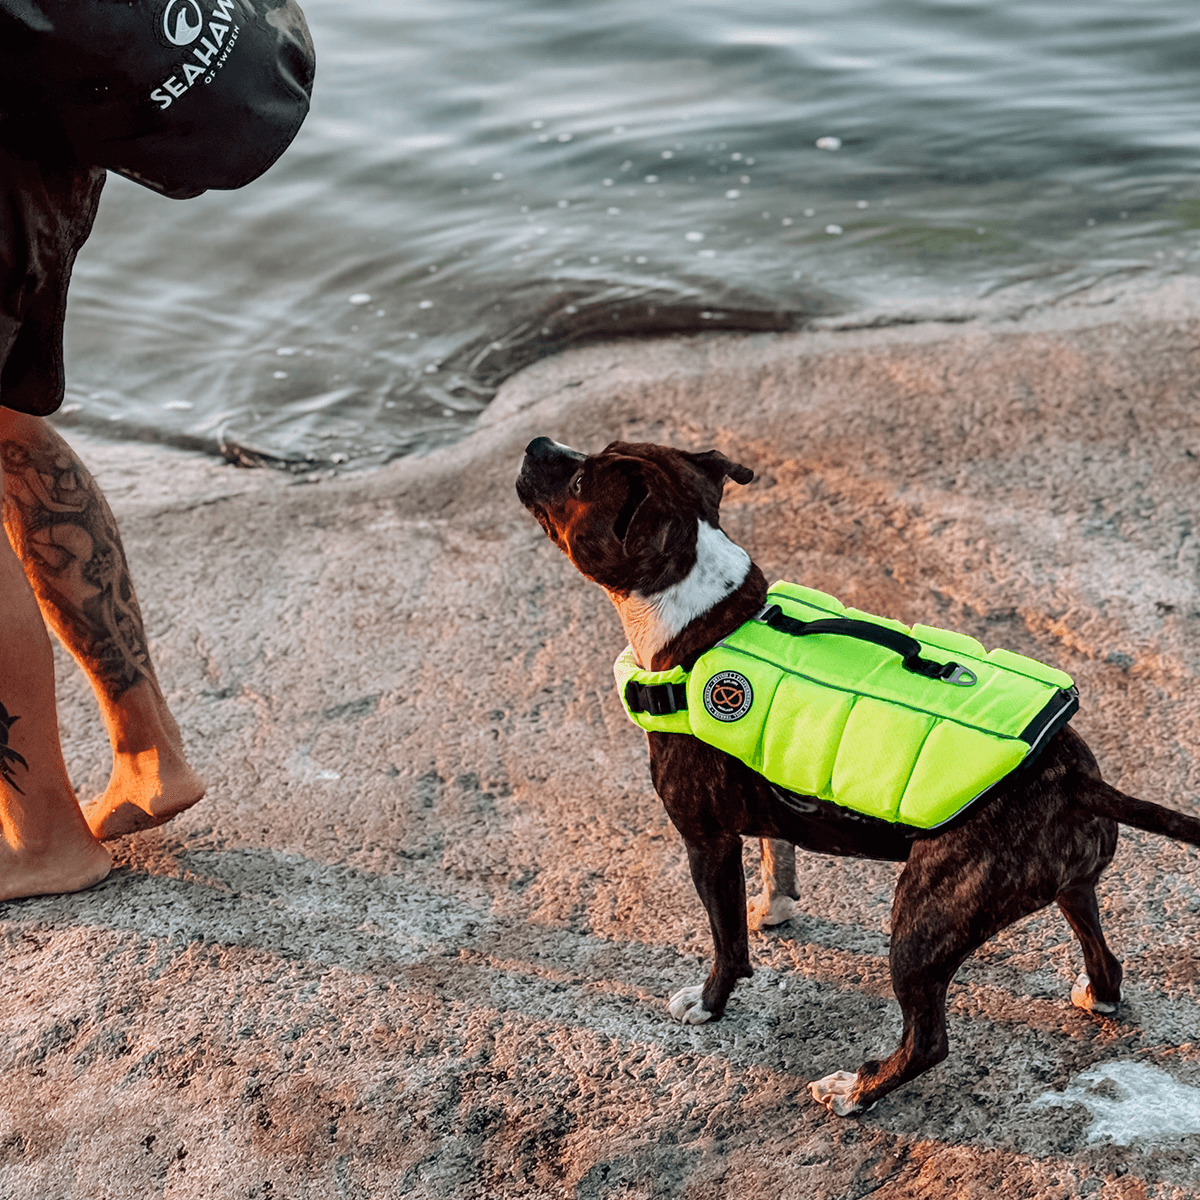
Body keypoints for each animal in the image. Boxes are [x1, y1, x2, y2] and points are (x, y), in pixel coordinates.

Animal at [513, 439, 1200, 1113]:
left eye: (581, 483)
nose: (537, 443)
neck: (703, 616)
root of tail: (1073, 778)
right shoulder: (770, 783)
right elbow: (777, 855)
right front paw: (773, 908)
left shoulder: (706, 841)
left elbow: (726, 941)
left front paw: (710, 1004)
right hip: (1071, 887)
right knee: (1104, 958)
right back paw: (1096, 994)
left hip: (922, 925)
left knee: (929, 1040)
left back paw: (857, 1090)